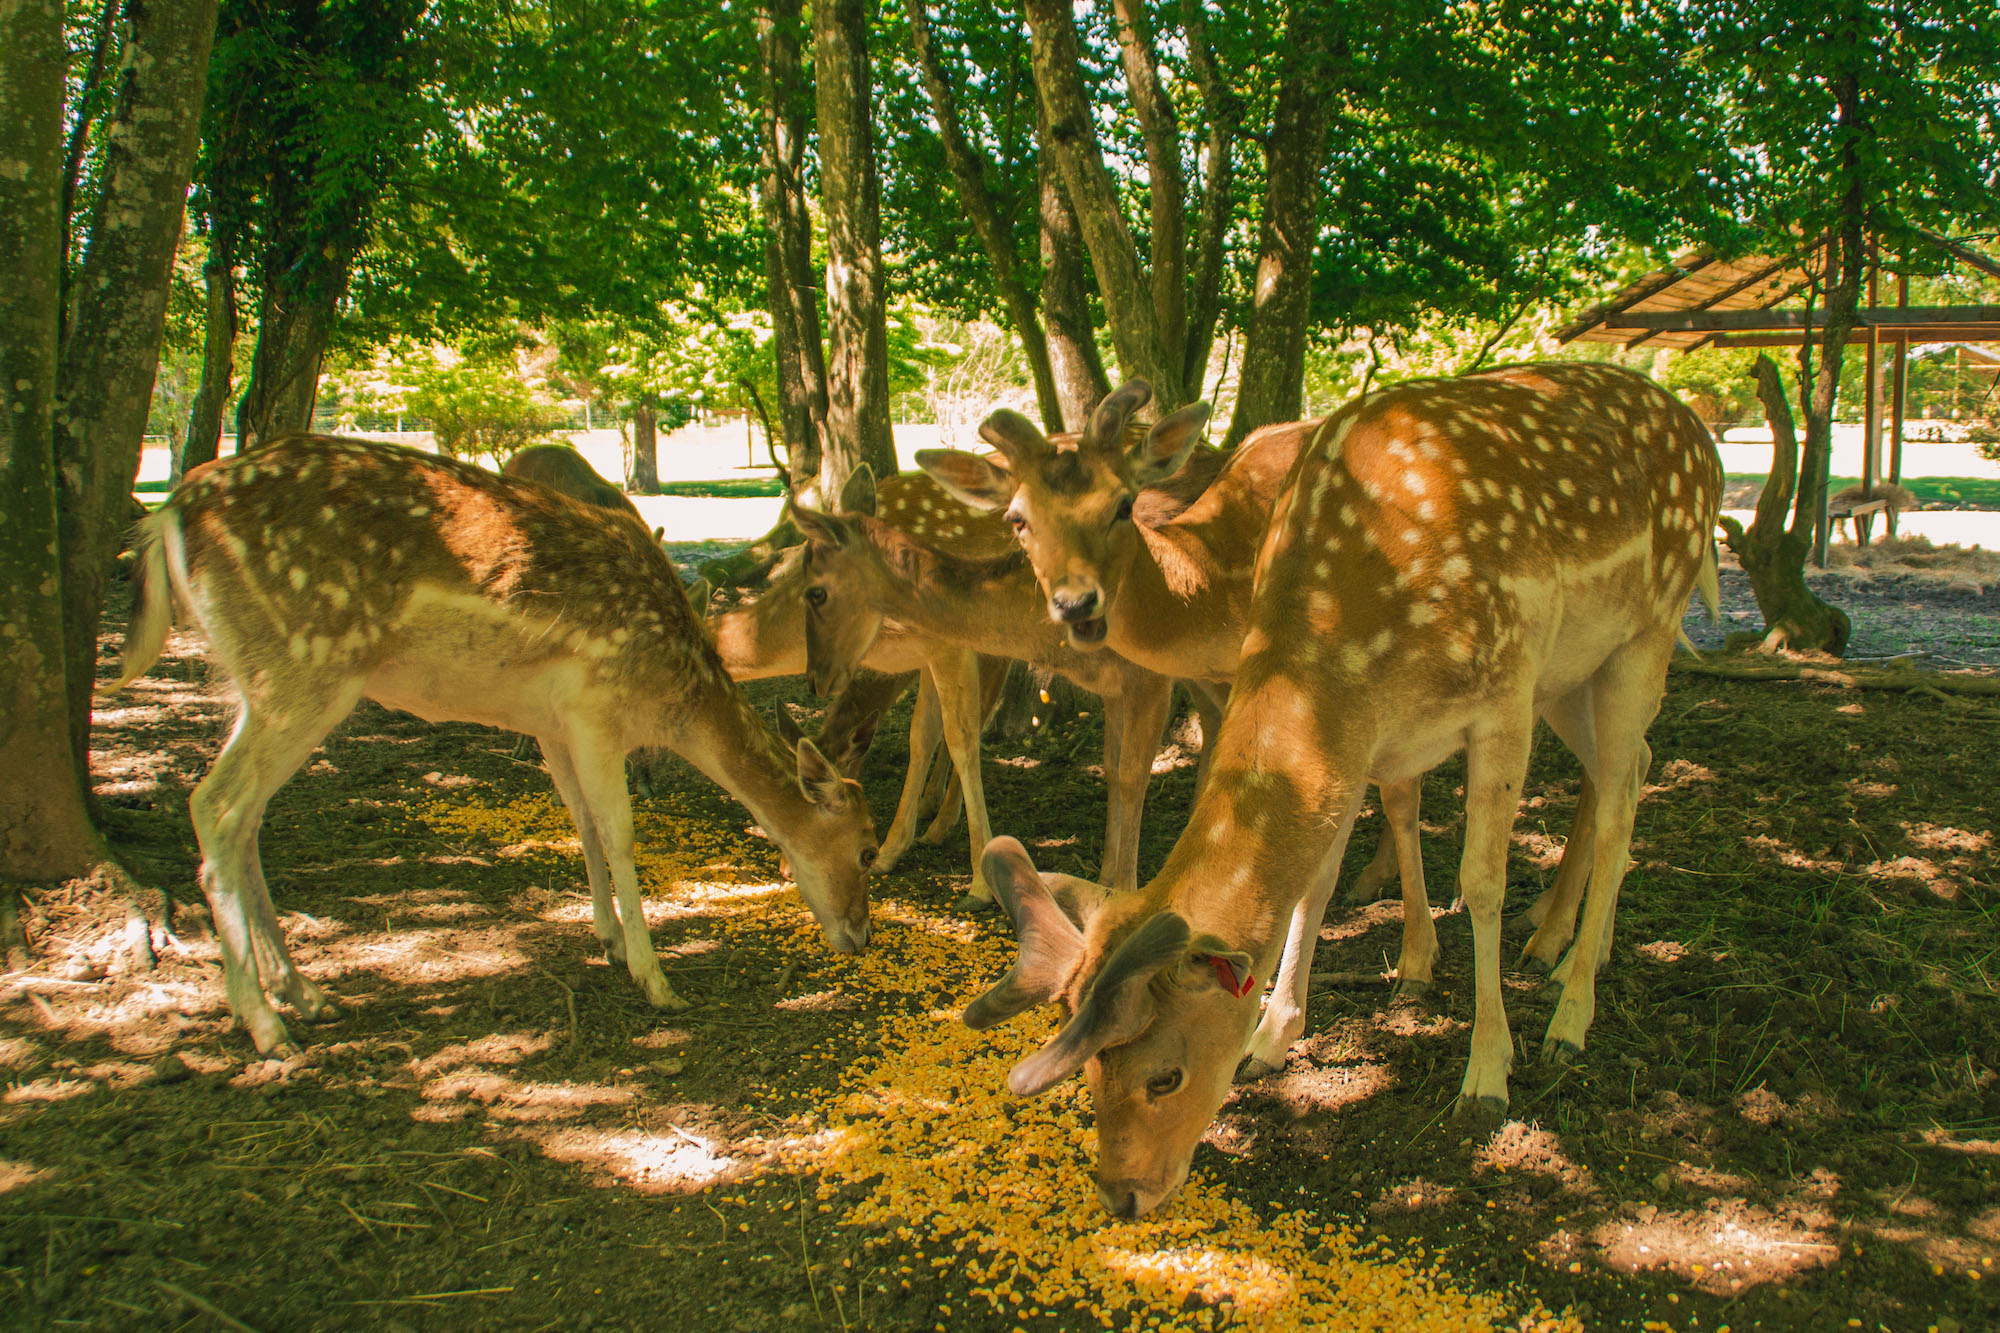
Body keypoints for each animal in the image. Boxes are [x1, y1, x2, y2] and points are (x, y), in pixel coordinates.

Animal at [117, 440, 880, 1056]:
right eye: (867, 849)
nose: (861, 936)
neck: (671, 698)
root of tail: (167, 517)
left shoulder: (552, 721)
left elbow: (579, 821)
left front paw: (605, 938)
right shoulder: (596, 707)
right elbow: (619, 832)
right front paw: (655, 978)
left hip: (254, 678)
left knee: (244, 816)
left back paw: (305, 995)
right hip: (304, 667)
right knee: (215, 804)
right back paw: (265, 1024)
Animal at [952, 364, 1720, 1216]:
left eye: (1165, 1074)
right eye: (1088, 1069)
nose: (1122, 1194)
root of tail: (1700, 431)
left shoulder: (1502, 693)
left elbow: (1481, 881)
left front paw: (1488, 1070)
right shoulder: (1359, 734)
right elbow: (1316, 879)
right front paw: (1274, 1034)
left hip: (1643, 632)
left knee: (1619, 794)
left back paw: (1569, 1011)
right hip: (1575, 671)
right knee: (1635, 765)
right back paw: (1563, 943)